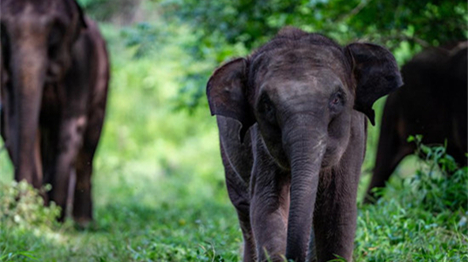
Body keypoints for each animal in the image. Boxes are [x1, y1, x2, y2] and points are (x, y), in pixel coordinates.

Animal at [0, 0, 109, 225]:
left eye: (55, 28)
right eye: (3, 29)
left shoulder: (80, 65)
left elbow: (71, 125)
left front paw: (54, 214)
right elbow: (14, 123)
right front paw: (35, 212)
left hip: (102, 85)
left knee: (88, 146)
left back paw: (82, 222)